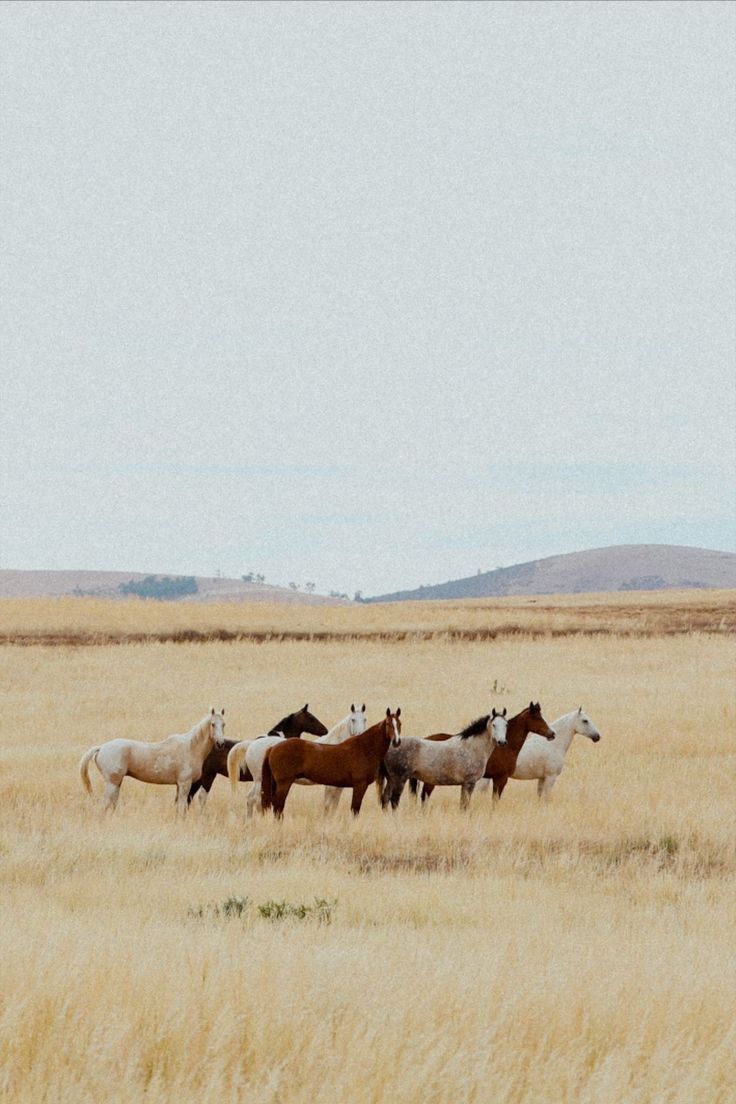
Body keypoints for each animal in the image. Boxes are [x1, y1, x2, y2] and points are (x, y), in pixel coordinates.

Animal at [78, 706, 226, 812]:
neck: (191, 747)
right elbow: (182, 807)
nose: (221, 743)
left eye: (224, 724)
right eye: (213, 724)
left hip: (116, 783)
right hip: (112, 783)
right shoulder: (185, 784)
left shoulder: (180, 785)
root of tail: (101, 747)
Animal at [227, 702, 368, 816]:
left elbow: (333, 806)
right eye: (353, 720)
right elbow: (328, 805)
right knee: (256, 799)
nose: (360, 735)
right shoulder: (330, 786)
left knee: (251, 799)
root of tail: (251, 745)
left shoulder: (339, 786)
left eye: (365, 719)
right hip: (260, 780)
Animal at [261, 706, 403, 821]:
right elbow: (354, 810)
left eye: (400, 724)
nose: (397, 742)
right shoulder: (359, 785)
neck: (364, 748)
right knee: (278, 806)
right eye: (388, 723)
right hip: (284, 783)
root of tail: (273, 748)